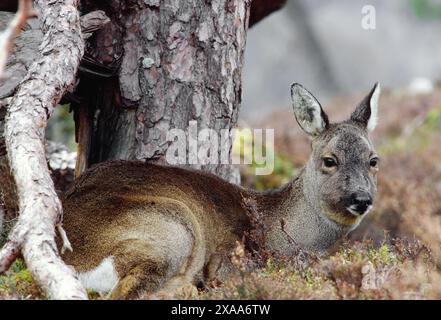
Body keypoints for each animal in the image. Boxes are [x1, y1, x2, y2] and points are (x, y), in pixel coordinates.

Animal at [58, 82, 380, 298]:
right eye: (330, 160)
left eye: (373, 160)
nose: (361, 199)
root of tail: (75, 260)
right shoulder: (229, 261)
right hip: (172, 226)